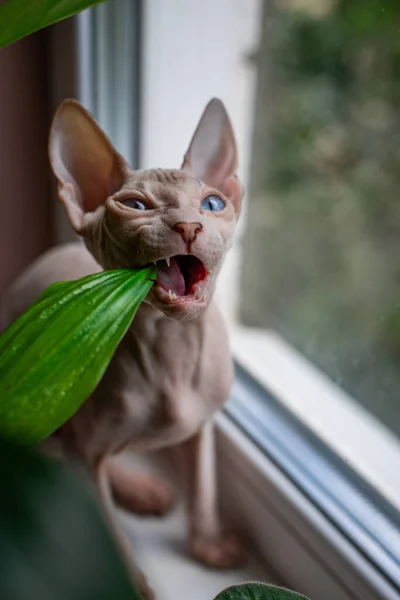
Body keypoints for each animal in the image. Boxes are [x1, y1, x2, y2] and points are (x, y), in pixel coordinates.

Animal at [0, 97, 244, 596]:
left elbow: (205, 485)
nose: (189, 226)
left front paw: (208, 546)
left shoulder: (205, 421)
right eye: (134, 204)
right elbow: (108, 530)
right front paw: (131, 586)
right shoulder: (84, 451)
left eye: (213, 203)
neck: (170, 348)